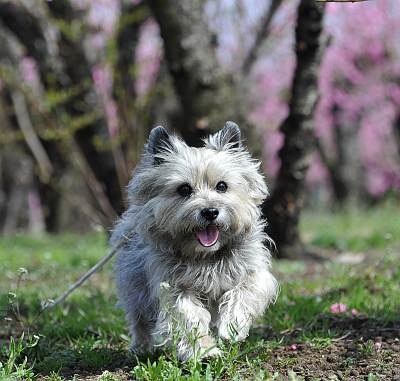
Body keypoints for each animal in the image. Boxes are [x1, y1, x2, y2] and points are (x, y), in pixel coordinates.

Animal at [109, 121, 278, 360]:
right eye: (184, 189)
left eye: (222, 186)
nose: (210, 212)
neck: (205, 255)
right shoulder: (173, 287)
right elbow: (188, 316)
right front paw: (205, 350)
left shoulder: (252, 271)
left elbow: (245, 290)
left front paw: (233, 325)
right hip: (135, 287)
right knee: (139, 319)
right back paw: (140, 348)